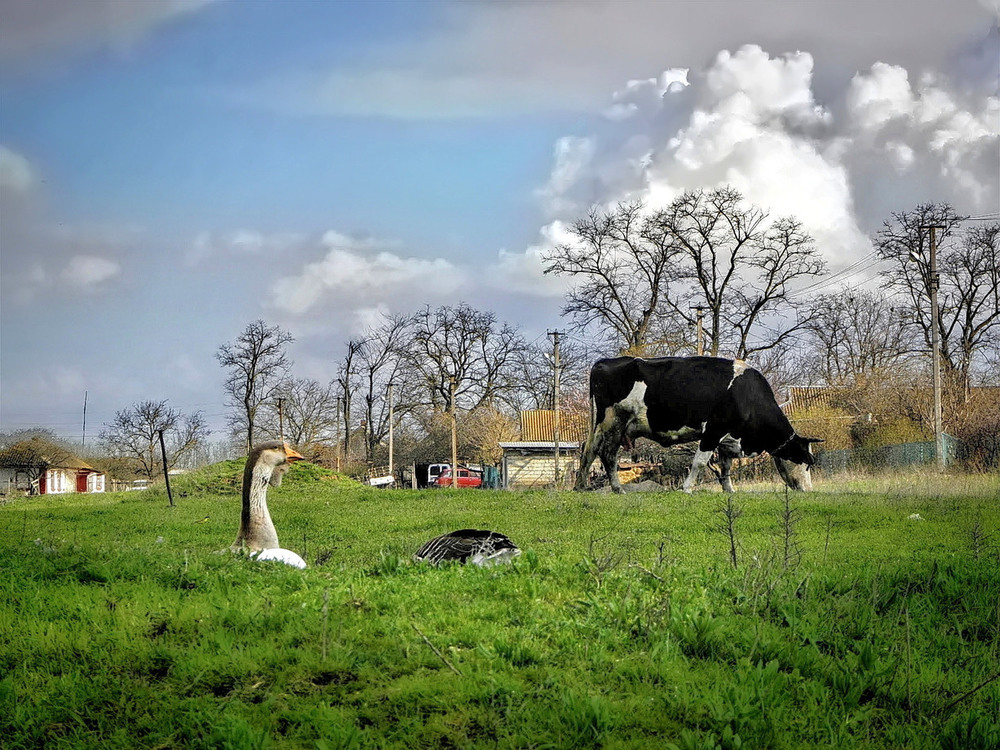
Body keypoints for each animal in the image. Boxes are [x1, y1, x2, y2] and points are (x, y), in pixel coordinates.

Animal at [576, 356, 824, 496]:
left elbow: (725, 467)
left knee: (588, 452)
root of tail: (604, 362)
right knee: (608, 455)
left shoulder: (727, 439)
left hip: (600, 426)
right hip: (614, 422)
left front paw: (729, 490)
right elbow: (700, 463)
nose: (808, 490)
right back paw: (618, 489)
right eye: (807, 461)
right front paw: (687, 488)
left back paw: (579, 487)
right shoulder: (713, 431)